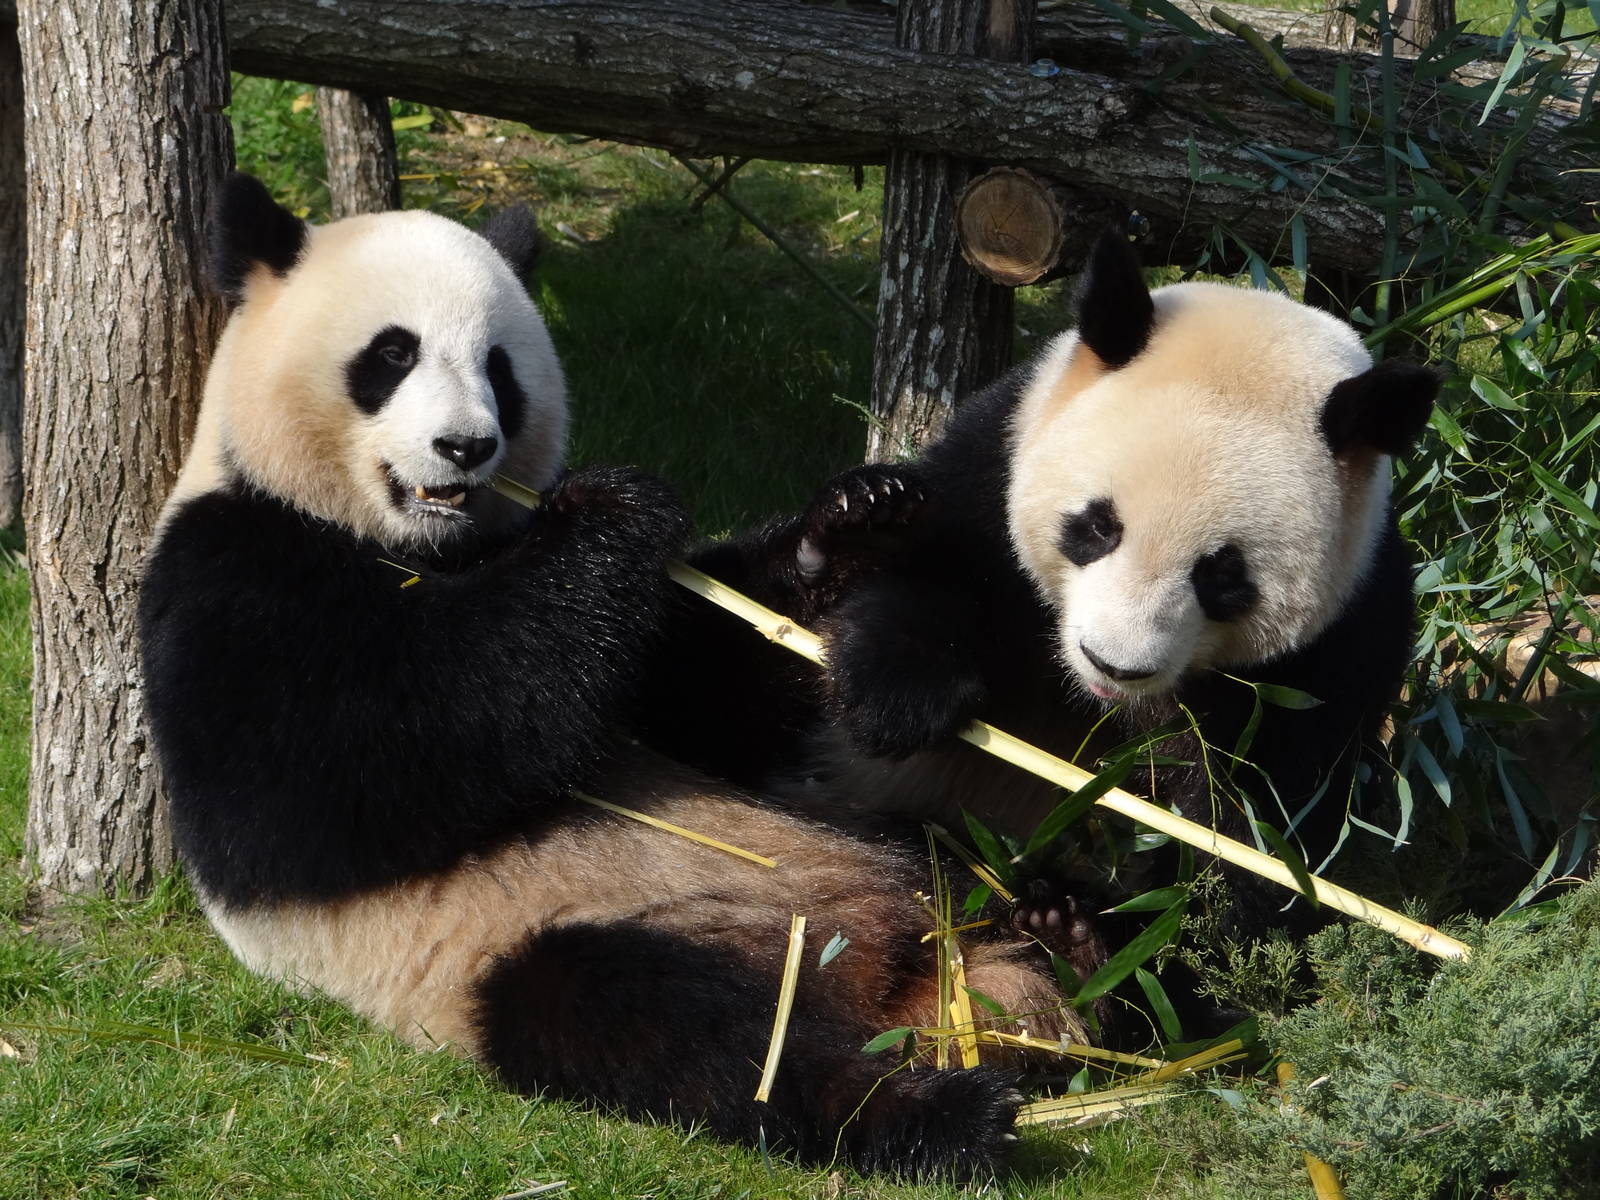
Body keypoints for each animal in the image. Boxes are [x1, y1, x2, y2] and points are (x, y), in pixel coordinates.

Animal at [136, 173, 1082, 1179]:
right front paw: (615, 509)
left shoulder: (647, 659)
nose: (467, 447)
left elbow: (705, 693)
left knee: (981, 867)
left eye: (500, 369)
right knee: (686, 1033)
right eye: (392, 354)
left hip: (891, 837)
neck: (427, 547)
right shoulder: (227, 578)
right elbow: (348, 771)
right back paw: (933, 1112)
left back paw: (1075, 934)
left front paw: (852, 520)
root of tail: (893, 978)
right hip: (536, 946)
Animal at [651, 228, 1438, 959]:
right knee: (714, 655)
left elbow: (1262, 846)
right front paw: (897, 698)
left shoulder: (1341, 645)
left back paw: (1074, 933)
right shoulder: (995, 458)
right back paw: (841, 536)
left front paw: (1130, 922)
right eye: (1097, 527)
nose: (1114, 664)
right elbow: (933, 578)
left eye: (1223, 576)